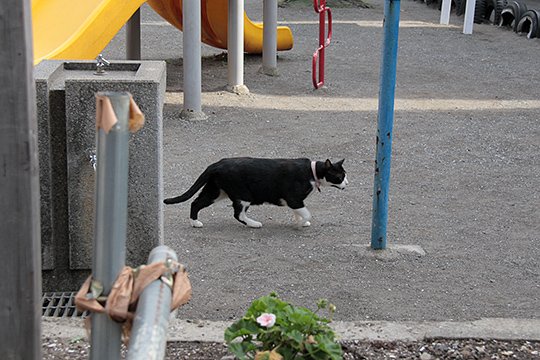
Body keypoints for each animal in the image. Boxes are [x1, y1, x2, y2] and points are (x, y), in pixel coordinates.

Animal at [165, 158, 348, 228]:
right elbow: (306, 213)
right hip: (244, 195)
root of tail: (217, 163)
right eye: (340, 176)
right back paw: (254, 224)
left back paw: (194, 222)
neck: (312, 172)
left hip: (216, 192)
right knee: (238, 214)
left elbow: (298, 212)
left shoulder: (295, 202)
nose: (347, 183)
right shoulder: (294, 198)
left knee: (196, 202)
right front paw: (301, 223)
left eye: (345, 175)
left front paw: (299, 222)